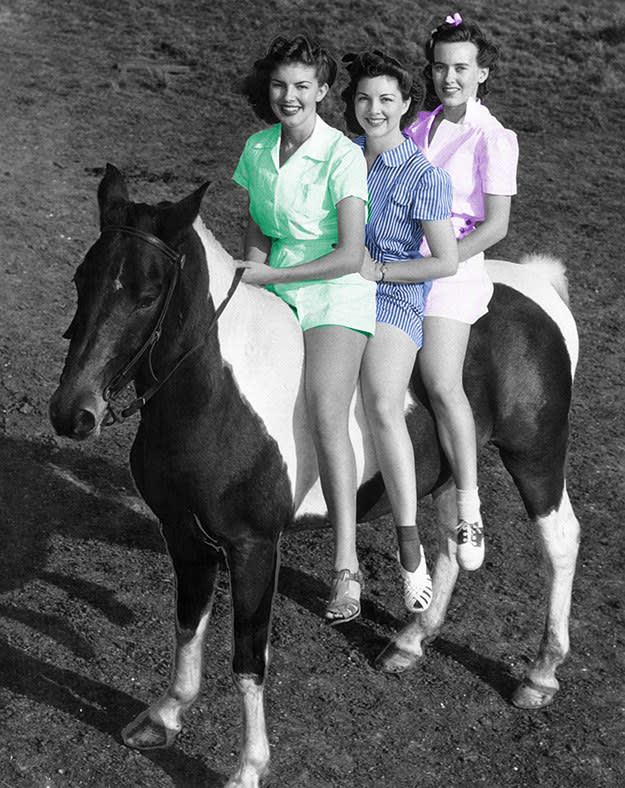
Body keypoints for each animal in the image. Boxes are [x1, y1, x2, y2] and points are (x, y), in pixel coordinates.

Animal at [50, 166, 580, 788]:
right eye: (82, 278)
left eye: (149, 294)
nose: (73, 412)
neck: (218, 392)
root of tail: (536, 286)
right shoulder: (184, 536)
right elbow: (186, 628)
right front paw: (163, 717)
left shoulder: (254, 546)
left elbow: (249, 657)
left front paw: (249, 766)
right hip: (453, 461)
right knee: (452, 542)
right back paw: (410, 641)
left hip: (535, 455)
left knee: (559, 542)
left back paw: (540, 675)